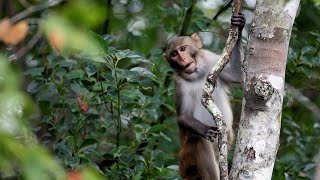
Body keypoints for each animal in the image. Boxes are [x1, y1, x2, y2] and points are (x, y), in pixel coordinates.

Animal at [165, 13, 245, 180]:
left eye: (183, 49)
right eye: (174, 54)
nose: (182, 59)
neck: (197, 74)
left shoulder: (211, 59)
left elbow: (237, 74)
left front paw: (239, 26)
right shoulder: (178, 82)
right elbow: (183, 116)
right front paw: (205, 130)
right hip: (187, 162)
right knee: (199, 143)